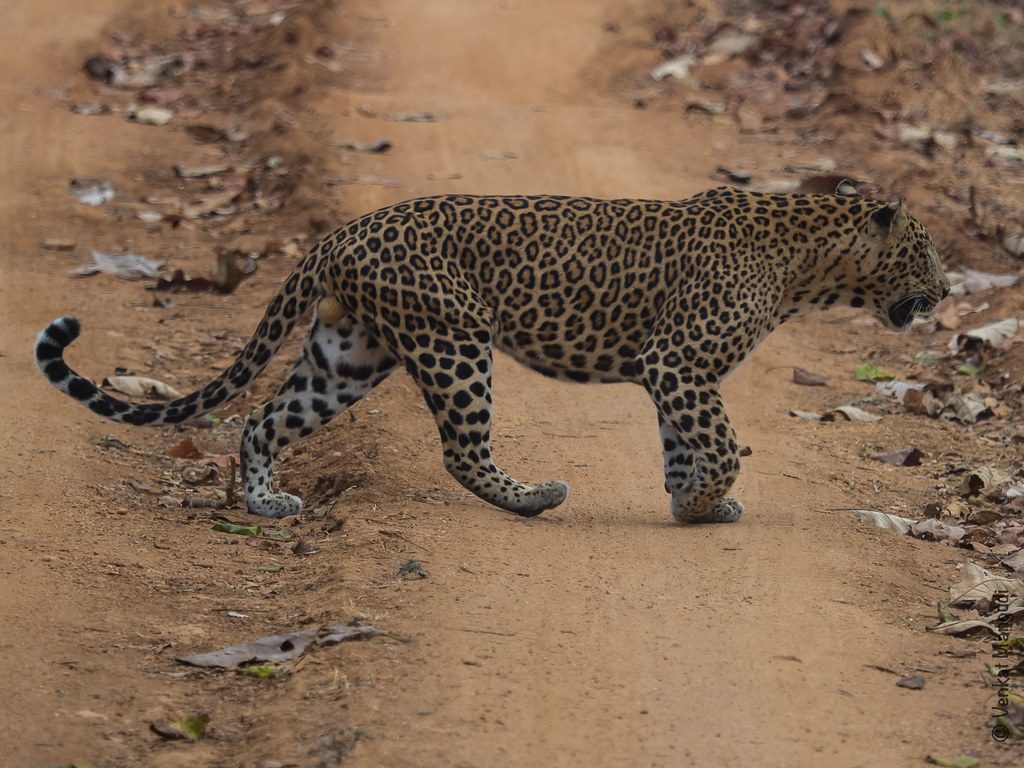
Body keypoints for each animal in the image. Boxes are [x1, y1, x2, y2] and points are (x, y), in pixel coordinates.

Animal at [36, 183, 946, 528]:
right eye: (927, 251)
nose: (947, 291)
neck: (808, 264)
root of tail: (341, 231)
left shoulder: (674, 375)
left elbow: (686, 445)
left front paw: (692, 503)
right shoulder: (677, 362)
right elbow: (718, 443)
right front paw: (703, 501)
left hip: (349, 352)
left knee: (264, 418)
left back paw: (265, 503)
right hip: (454, 338)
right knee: (460, 448)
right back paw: (533, 497)